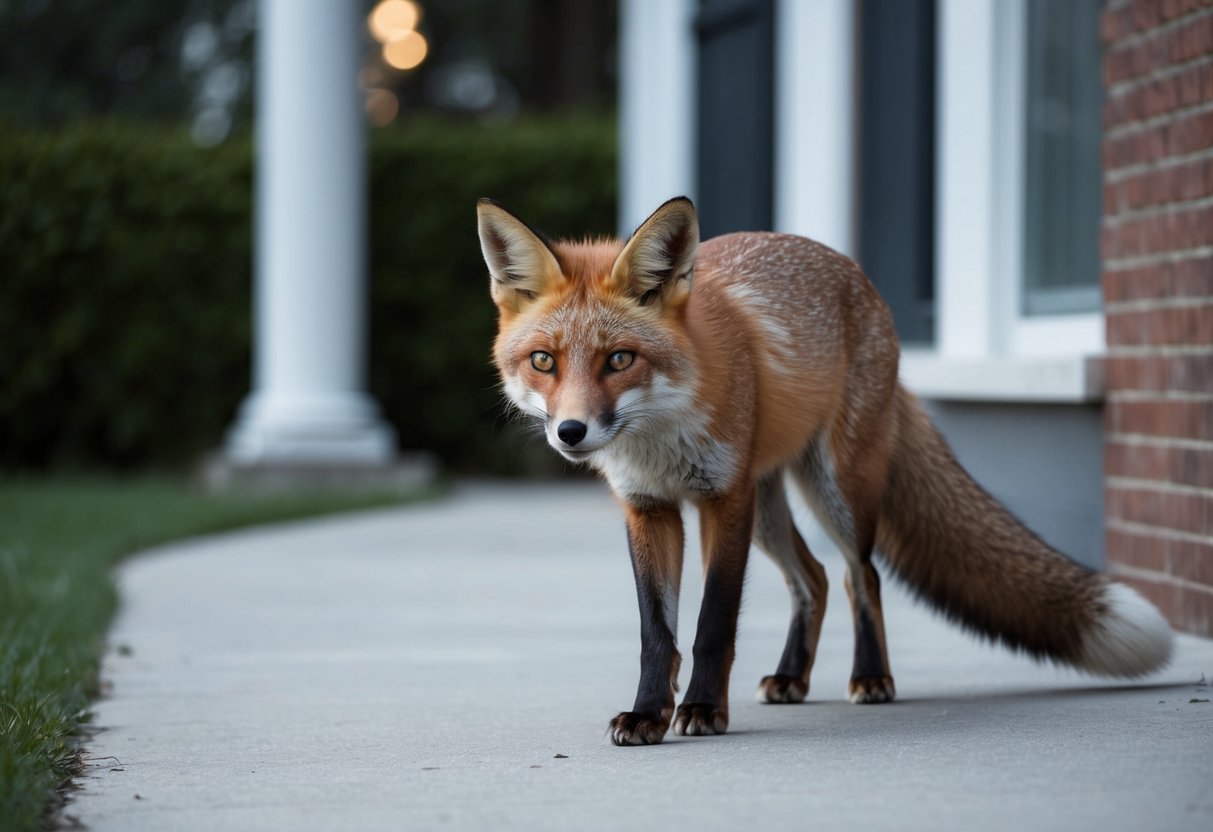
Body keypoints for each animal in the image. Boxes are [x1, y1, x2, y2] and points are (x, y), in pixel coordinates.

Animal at [477, 195, 1174, 746]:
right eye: (543, 361)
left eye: (620, 359)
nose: (571, 432)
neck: (659, 437)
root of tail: (856, 275)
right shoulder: (649, 508)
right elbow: (658, 634)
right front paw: (649, 715)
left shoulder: (723, 500)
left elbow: (712, 625)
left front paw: (701, 709)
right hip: (770, 508)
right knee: (810, 578)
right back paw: (792, 677)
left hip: (835, 488)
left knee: (859, 576)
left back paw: (872, 677)